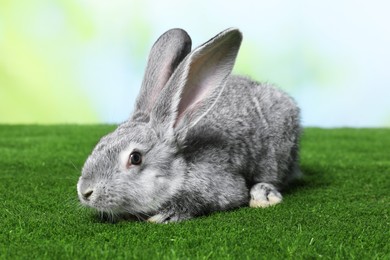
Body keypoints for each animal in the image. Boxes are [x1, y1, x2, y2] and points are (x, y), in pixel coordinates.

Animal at [77, 27, 302, 223]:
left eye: (135, 158)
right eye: (102, 141)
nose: (85, 192)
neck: (181, 169)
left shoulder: (220, 184)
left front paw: (165, 216)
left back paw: (263, 196)